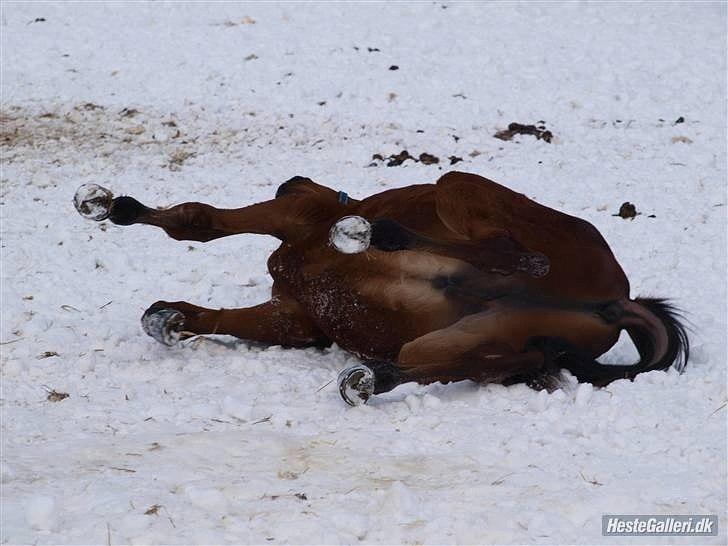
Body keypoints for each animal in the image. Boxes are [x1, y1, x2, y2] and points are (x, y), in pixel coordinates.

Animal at [74, 171, 688, 404]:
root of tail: (618, 300)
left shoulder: (297, 210)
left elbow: (196, 221)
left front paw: (108, 205)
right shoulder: (296, 318)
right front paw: (168, 317)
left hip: (462, 188)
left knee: (518, 255)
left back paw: (372, 232)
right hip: (494, 339)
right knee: (447, 359)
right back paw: (370, 377)